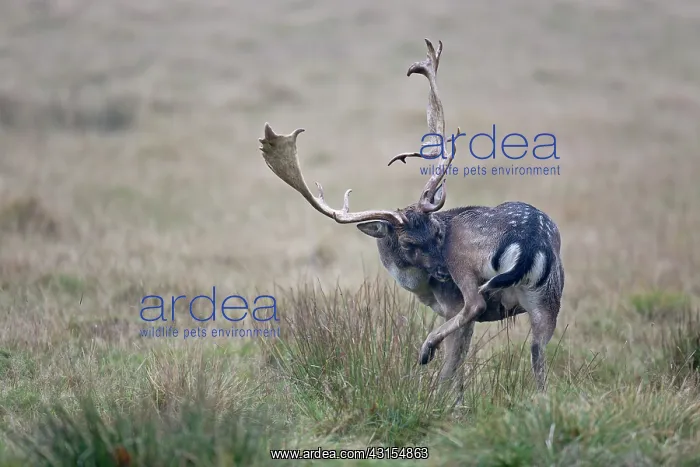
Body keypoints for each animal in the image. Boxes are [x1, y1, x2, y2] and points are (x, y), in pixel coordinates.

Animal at [258, 38, 565, 397]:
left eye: (437, 234)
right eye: (407, 242)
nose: (441, 272)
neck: (422, 289)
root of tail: (529, 243)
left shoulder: (452, 303)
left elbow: (455, 363)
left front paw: (445, 396)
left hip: (469, 266)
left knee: (474, 304)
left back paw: (426, 349)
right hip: (548, 299)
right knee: (539, 355)